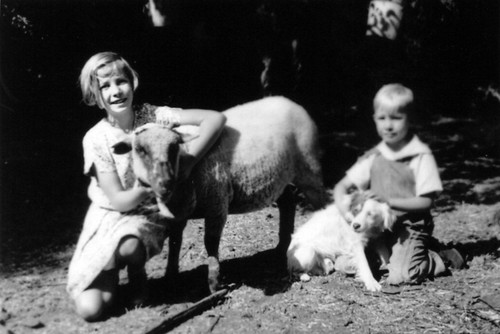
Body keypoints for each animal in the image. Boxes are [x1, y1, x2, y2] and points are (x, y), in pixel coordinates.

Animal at [114, 96, 330, 292]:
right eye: (139, 149)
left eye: (174, 147)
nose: (165, 182)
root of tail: (290, 101)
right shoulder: (179, 214)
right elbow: (175, 243)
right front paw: (171, 277)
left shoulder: (217, 204)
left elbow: (210, 242)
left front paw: (214, 282)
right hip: (279, 177)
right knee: (288, 204)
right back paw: (281, 246)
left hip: (308, 167)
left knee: (322, 204)